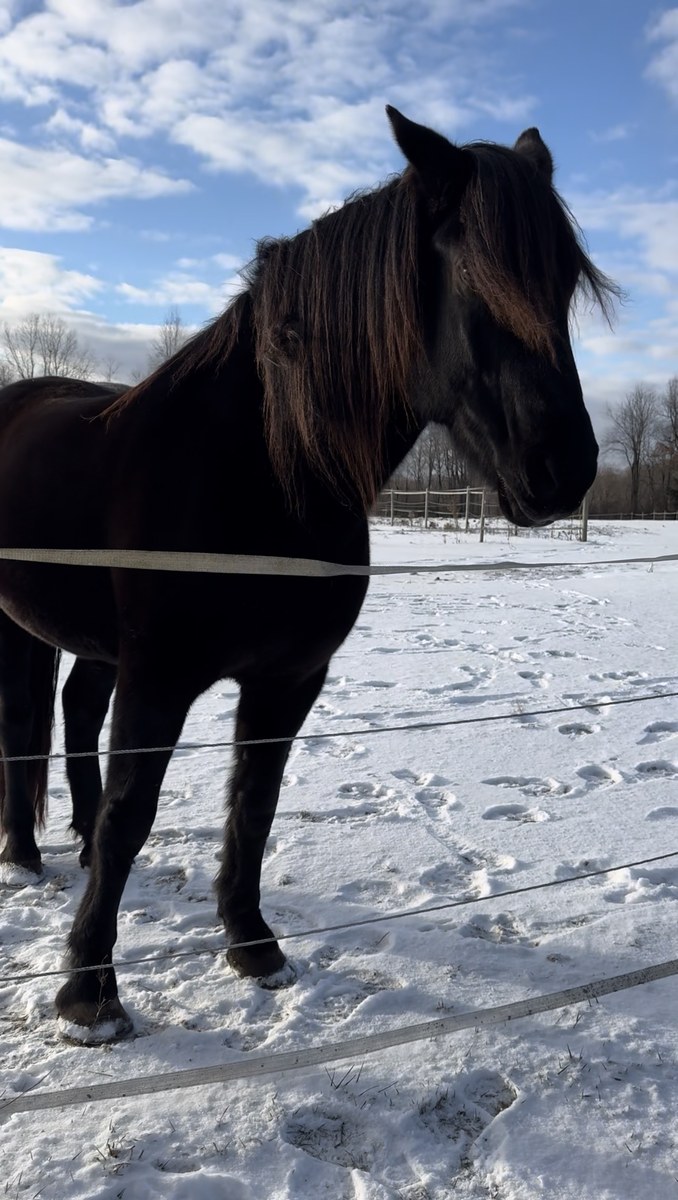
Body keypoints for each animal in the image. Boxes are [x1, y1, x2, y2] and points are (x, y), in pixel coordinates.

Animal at [0, 108, 616, 1043]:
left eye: (567, 281)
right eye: (473, 272)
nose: (564, 468)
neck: (260, 466)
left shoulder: (289, 678)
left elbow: (254, 802)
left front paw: (253, 946)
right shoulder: (159, 677)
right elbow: (132, 815)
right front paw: (89, 995)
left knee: (70, 717)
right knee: (23, 732)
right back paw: (25, 856)